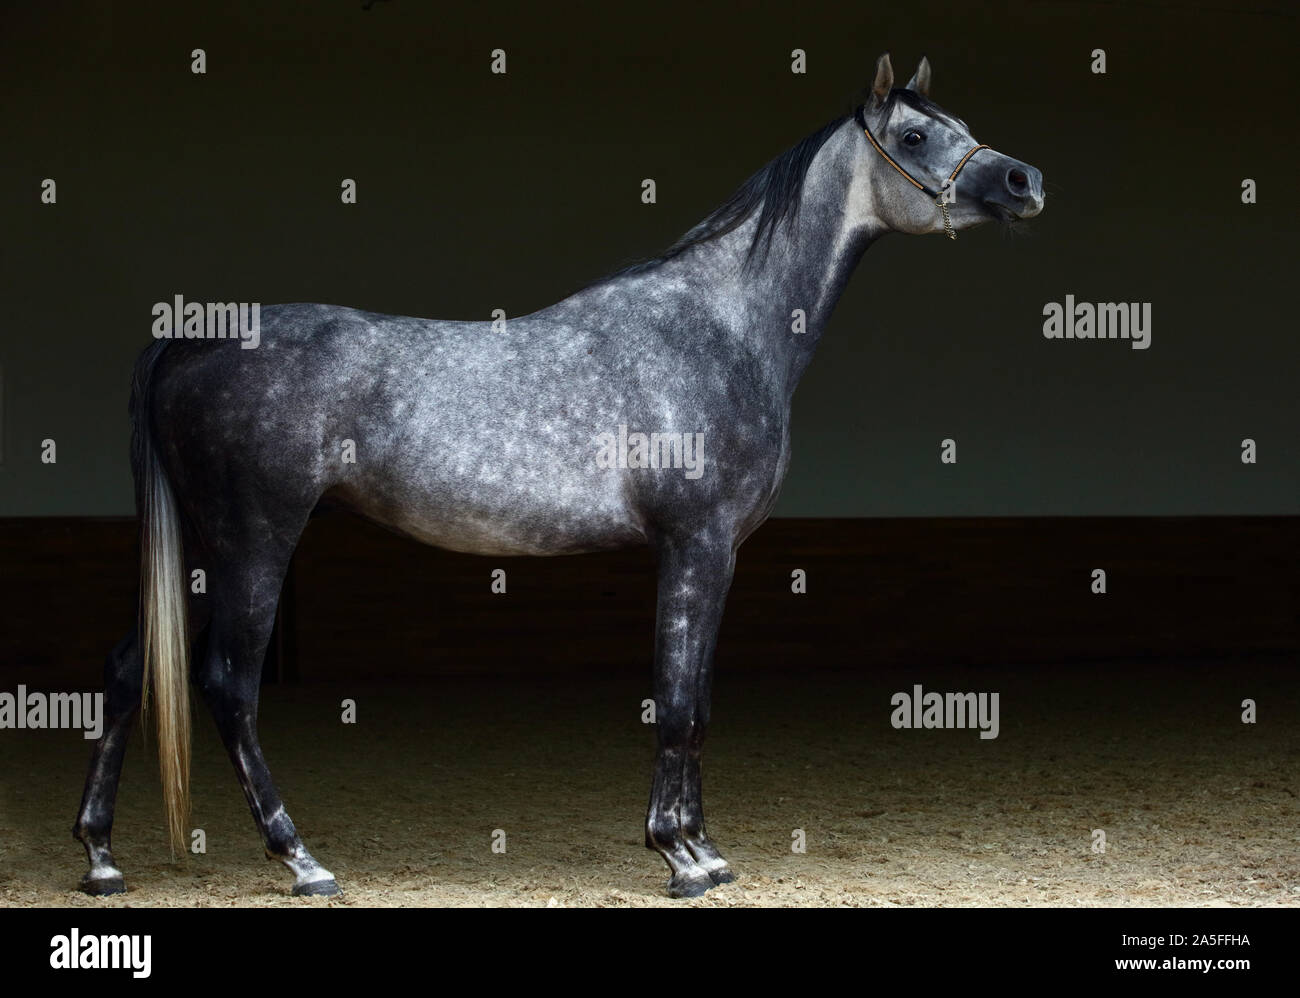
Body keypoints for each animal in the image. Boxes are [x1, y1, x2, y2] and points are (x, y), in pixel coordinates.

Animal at [74, 53, 1044, 899]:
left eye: (961, 125)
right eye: (915, 136)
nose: (1024, 182)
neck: (722, 327)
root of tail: (187, 337)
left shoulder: (713, 554)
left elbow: (698, 702)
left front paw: (705, 848)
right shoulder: (694, 545)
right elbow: (678, 701)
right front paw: (679, 856)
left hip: (202, 549)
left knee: (128, 670)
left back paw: (101, 859)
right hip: (254, 541)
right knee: (229, 687)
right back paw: (302, 862)